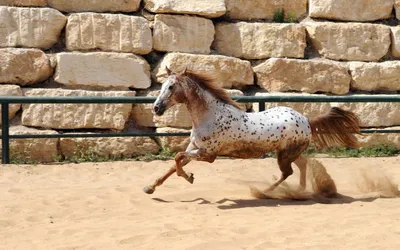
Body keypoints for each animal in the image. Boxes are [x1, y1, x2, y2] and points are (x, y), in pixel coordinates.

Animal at [142, 68, 360, 195]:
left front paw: (189, 177)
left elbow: (177, 158)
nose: (156, 108)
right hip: (289, 152)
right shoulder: (194, 148)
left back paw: (264, 191)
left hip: (284, 155)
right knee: (303, 164)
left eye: (171, 87)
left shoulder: (208, 155)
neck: (210, 116)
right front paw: (150, 187)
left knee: (288, 171)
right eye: (162, 85)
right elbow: (174, 164)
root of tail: (306, 120)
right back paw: (299, 190)